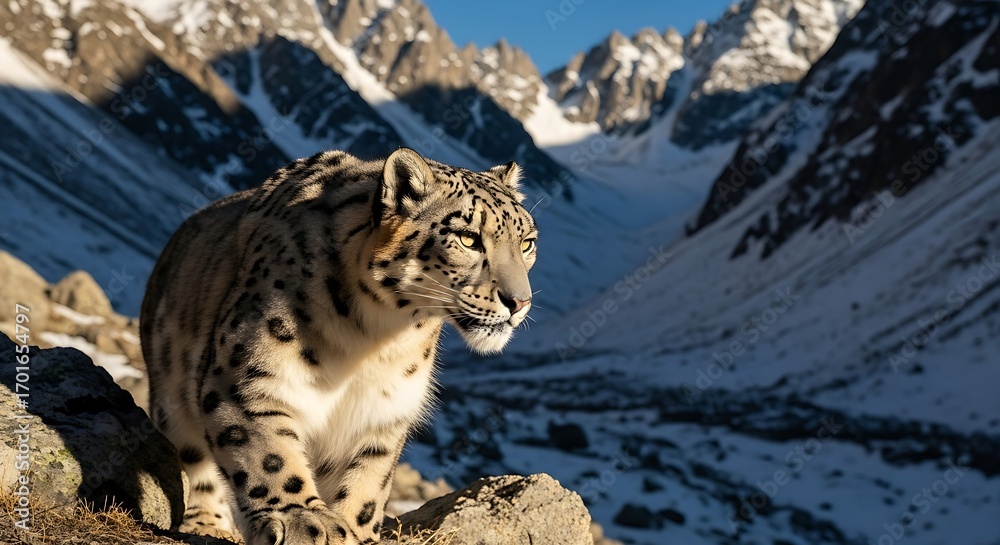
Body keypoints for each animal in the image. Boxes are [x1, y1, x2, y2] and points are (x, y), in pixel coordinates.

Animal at [139, 148, 537, 545]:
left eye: (527, 242)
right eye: (468, 238)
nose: (519, 302)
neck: (376, 340)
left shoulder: (383, 412)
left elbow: (367, 483)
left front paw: (355, 530)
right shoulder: (248, 379)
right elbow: (269, 455)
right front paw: (304, 521)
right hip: (172, 394)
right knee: (195, 460)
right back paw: (207, 522)